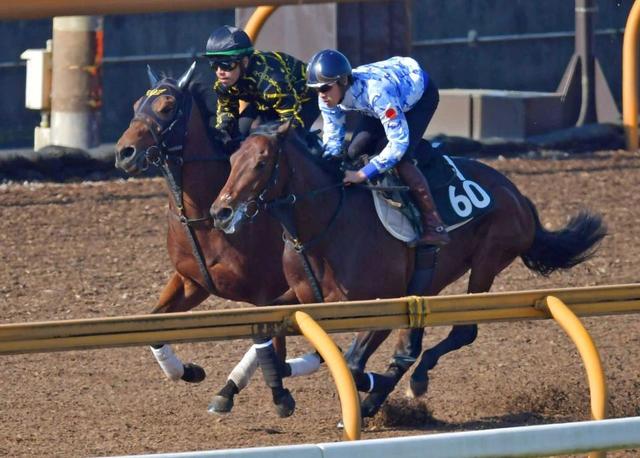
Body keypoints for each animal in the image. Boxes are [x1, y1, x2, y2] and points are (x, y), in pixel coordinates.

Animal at [115, 64, 316, 418]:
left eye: (167, 107)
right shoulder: (191, 283)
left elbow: (269, 346)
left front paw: (278, 394)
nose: (124, 153)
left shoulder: (267, 293)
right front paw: (189, 371)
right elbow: (153, 326)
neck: (205, 215)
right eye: (137, 104)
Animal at [210, 123, 604, 416]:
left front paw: (371, 386)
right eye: (232, 159)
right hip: (428, 283)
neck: (326, 223)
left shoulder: (382, 305)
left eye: (261, 163)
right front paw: (273, 392)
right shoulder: (304, 295)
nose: (220, 212)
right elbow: (270, 331)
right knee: (413, 345)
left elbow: (352, 364)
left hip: (487, 260)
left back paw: (409, 383)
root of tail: (518, 195)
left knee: (461, 332)